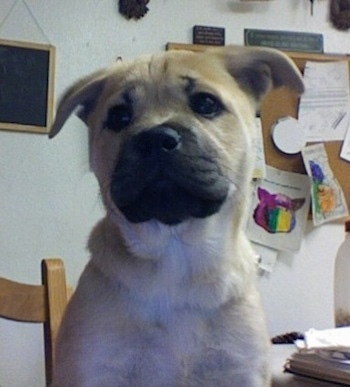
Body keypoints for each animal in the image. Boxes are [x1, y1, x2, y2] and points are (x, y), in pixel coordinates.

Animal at [50, 46, 304, 387]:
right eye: (118, 117)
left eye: (206, 103)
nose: (155, 139)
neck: (177, 259)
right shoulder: (92, 369)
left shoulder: (242, 371)